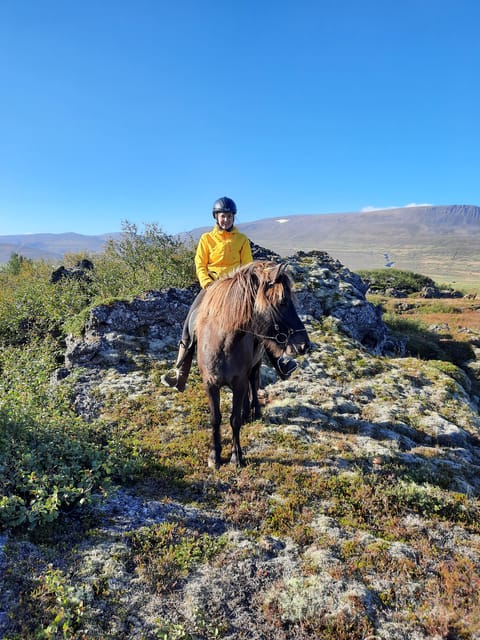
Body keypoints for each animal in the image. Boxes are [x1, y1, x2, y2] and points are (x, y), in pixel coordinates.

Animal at [195, 262, 312, 470]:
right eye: (283, 301)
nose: (305, 345)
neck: (223, 344)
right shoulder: (210, 384)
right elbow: (215, 419)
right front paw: (214, 456)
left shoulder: (239, 382)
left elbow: (234, 420)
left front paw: (236, 457)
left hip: (255, 365)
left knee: (254, 382)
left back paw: (254, 411)